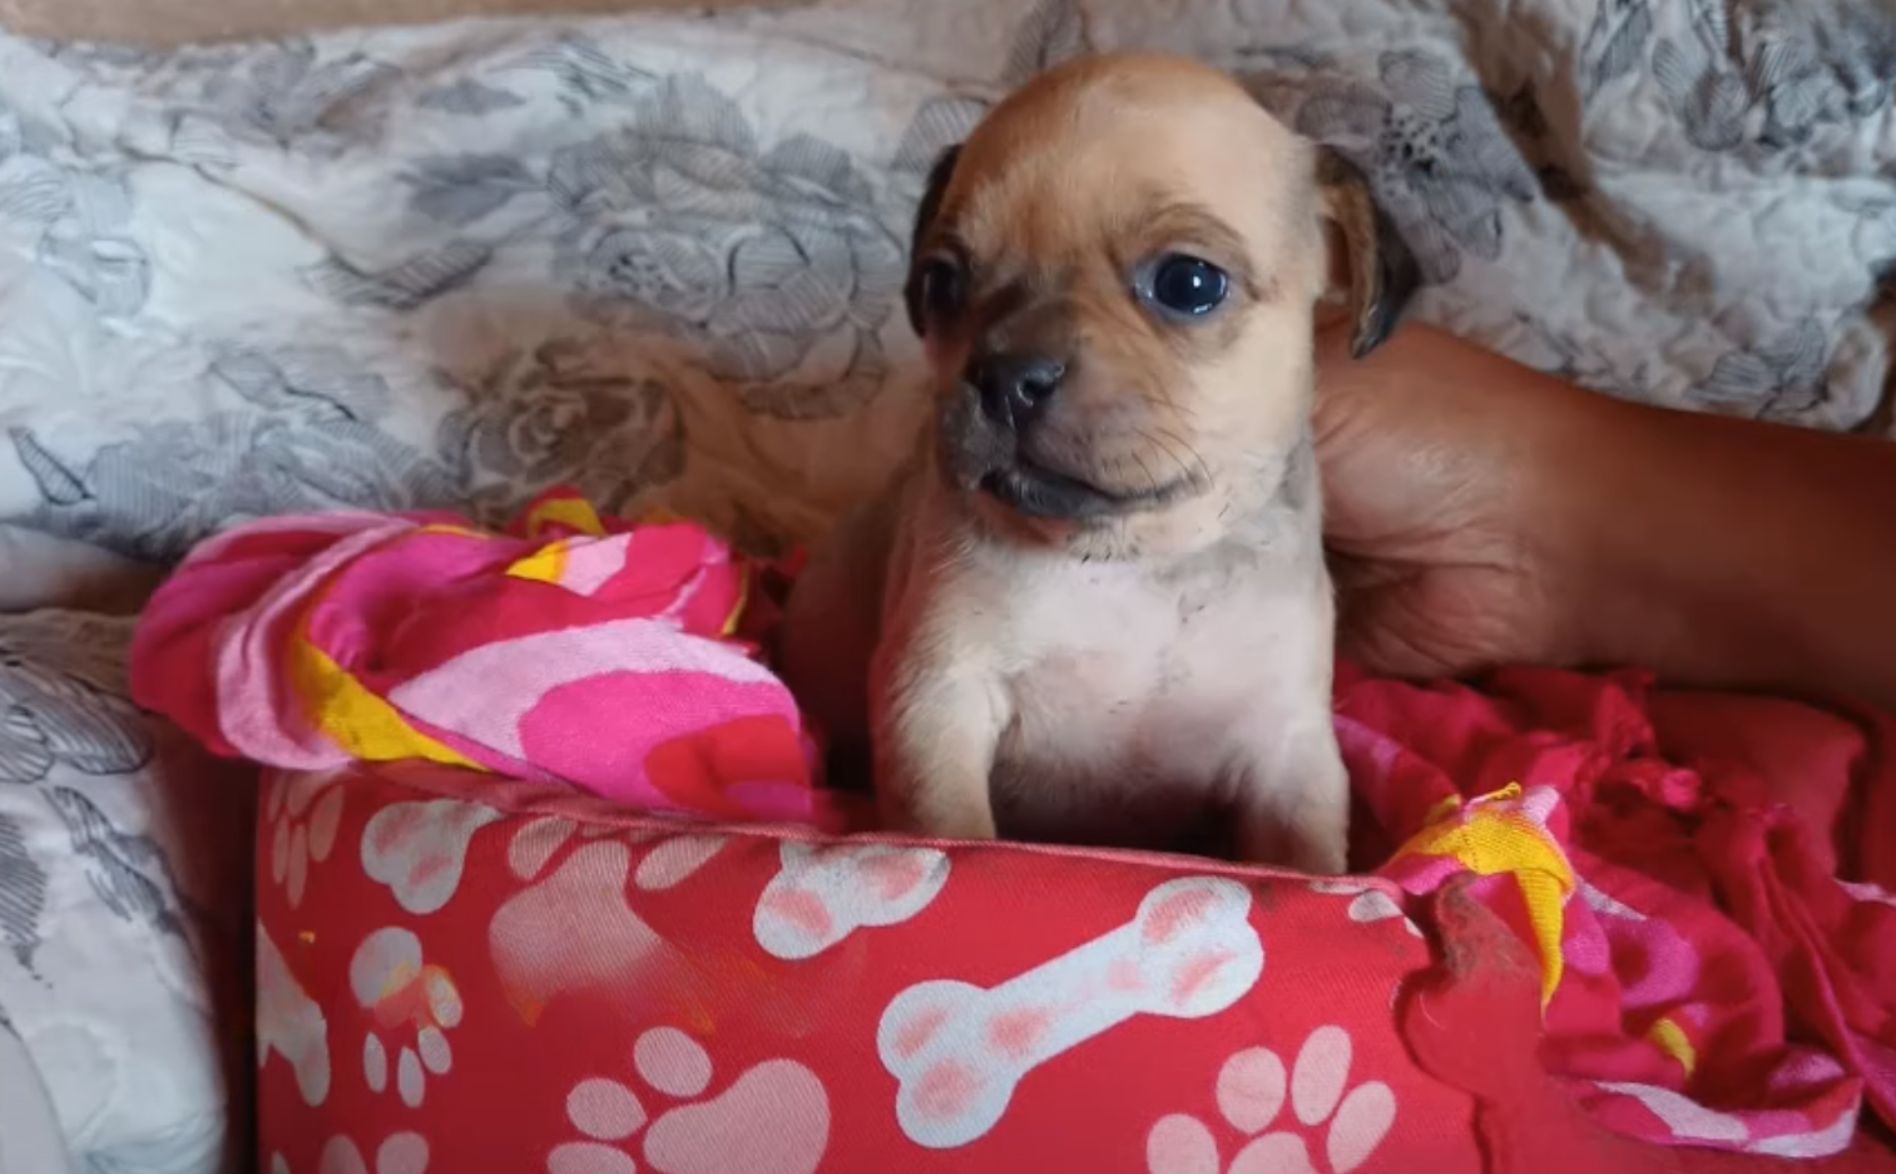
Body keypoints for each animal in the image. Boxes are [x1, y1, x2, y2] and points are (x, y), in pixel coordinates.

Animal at [777, 52, 1418, 872]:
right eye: (942, 285)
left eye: (1190, 284)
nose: (1005, 376)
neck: (1129, 564)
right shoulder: (939, 697)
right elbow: (949, 819)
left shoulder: (1288, 752)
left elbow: (1302, 855)